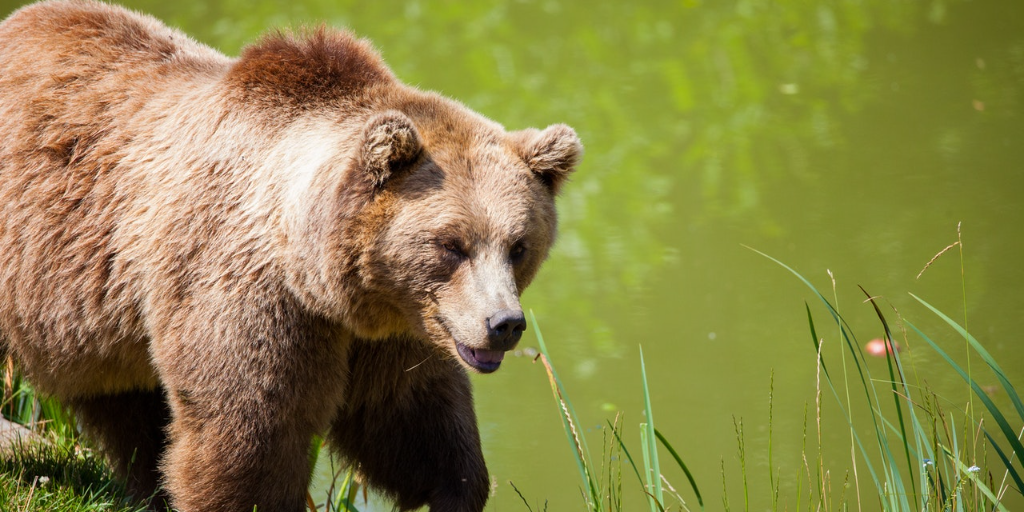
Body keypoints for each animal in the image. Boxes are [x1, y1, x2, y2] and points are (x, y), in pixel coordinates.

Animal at [0, 1, 582, 511]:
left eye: (518, 246)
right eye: (451, 244)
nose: (504, 323)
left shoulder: (395, 328)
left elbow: (410, 416)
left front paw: (457, 488)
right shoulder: (245, 290)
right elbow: (250, 429)